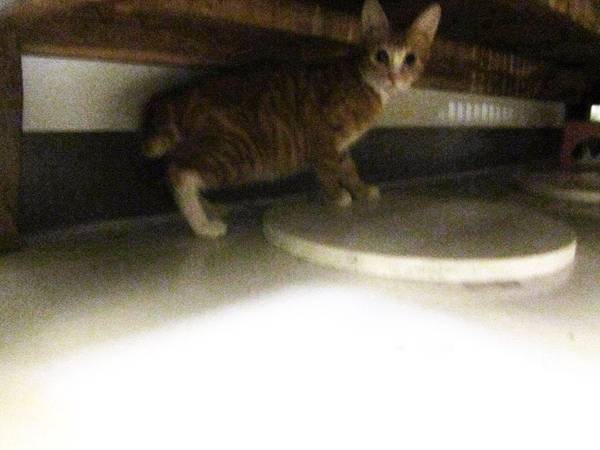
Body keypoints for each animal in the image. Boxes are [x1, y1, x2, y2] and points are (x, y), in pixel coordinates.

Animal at [142, 0, 441, 238]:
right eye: (381, 56)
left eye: (410, 59)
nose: (394, 77)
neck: (366, 84)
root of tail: (179, 96)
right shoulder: (322, 136)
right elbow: (328, 170)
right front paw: (336, 196)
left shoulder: (340, 146)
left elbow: (348, 167)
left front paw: (361, 189)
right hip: (239, 152)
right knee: (179, 173)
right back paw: (202, 225)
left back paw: (209, 210)